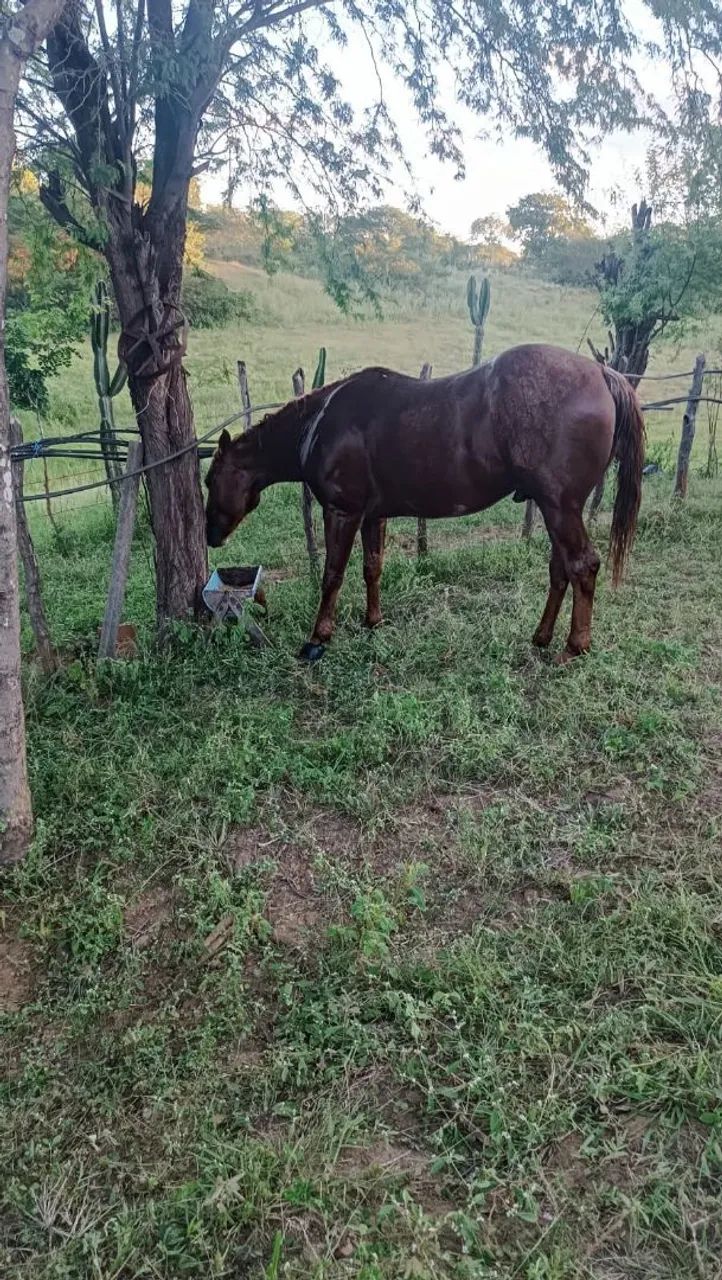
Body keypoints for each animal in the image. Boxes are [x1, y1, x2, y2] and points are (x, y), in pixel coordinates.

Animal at [205, 344, 644, 662]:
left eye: (210, 480)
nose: (210, 535)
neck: (320, 423)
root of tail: (603, 374)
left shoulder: (342, 512)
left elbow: (332, 575)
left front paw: (318, 638)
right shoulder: (372, 515)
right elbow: (372, 568)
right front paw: (373, 621)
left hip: (560, 507)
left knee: (583, 566)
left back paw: (574, 647)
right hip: (557, 509)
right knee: (561, 570)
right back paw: (542, 637)